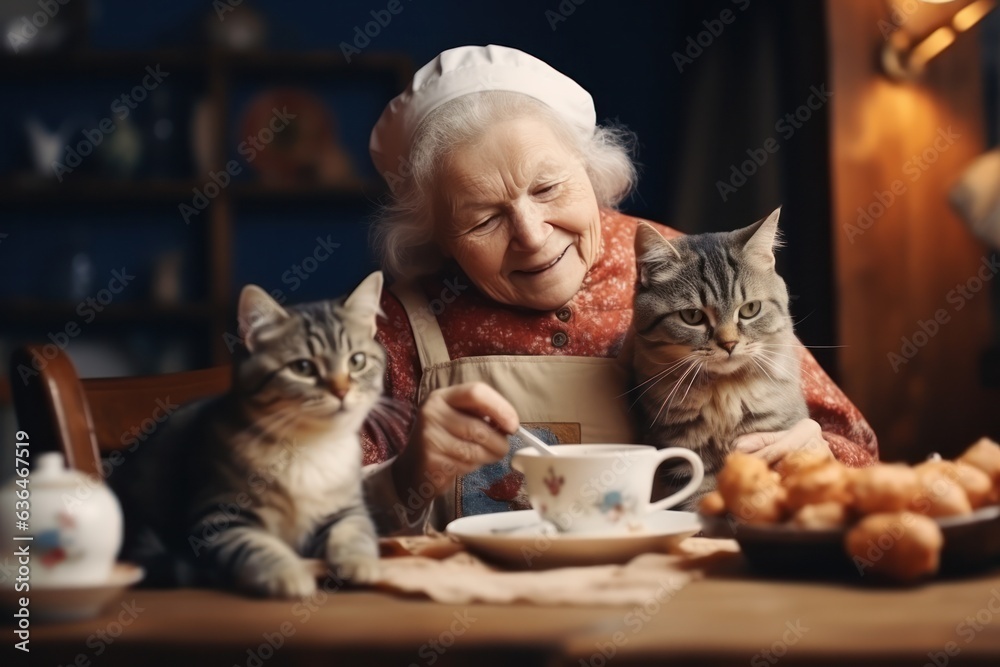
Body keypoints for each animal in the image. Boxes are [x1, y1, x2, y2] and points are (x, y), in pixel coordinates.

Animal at [114, 272, 382, 600]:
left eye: (357, 361)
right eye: (303, 367)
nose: (342, 391)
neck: (308, 446)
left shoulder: (346, 509)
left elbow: (355, 532)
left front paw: (362, 563)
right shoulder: (219, 517)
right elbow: (257, 548)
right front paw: (290, 574)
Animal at [632, 209, 812, 506]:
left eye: (750, 309)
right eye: (692, 316)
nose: (729, 344)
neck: (723, 393)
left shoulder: (775, 431)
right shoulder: (688, 458)